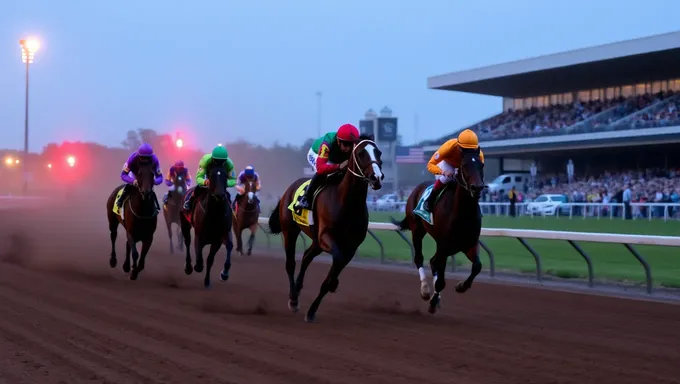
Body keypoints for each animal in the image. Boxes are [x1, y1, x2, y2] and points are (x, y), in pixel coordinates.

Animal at [268, 134, 382, 320]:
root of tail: (289, 189)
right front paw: (332, 284)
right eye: (361, 153)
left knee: (307, 256)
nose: (377, 178)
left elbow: (331, 274)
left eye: (378, 152)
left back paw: (298, 288)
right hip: (290, 231)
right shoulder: (327, 238)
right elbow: (337, 259)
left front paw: (312, 310)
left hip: (316, 240)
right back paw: (293, 299)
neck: (347, 203)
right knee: (290, 263)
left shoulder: (351, 247)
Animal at [390, 148, 486, 316]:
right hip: (417, 230)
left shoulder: (469, 244)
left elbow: (477, 266)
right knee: (420, 258)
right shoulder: (444, 246)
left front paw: (461, 286)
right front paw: (432, 301)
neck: (463, 214)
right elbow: (441, 280)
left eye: (481, 165)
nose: (477, 188)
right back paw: (425, 290)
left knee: (433, 262)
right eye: (464, 165)